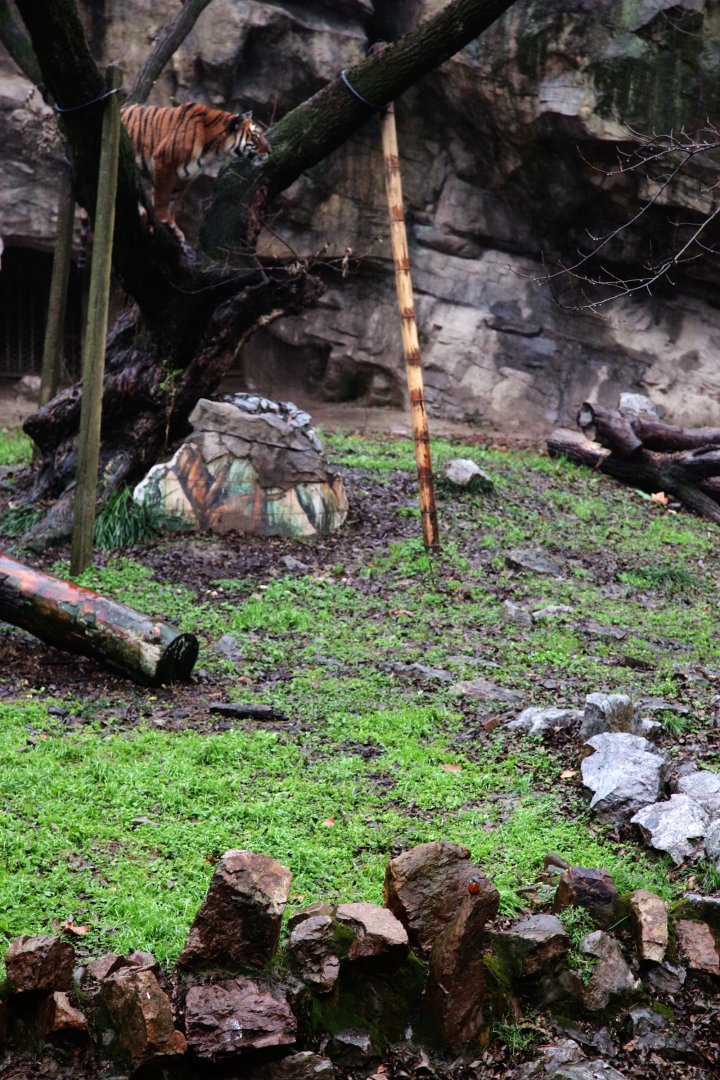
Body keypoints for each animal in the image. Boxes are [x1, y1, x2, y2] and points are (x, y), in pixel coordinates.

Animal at [121, 102, 271, 237]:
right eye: (256, 136)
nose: (270, 151)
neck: (215, 148)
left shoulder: (185, 177)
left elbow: (174, 202)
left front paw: (174, 227)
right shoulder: (164, 161)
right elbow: (162, 196)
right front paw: (162, 218)